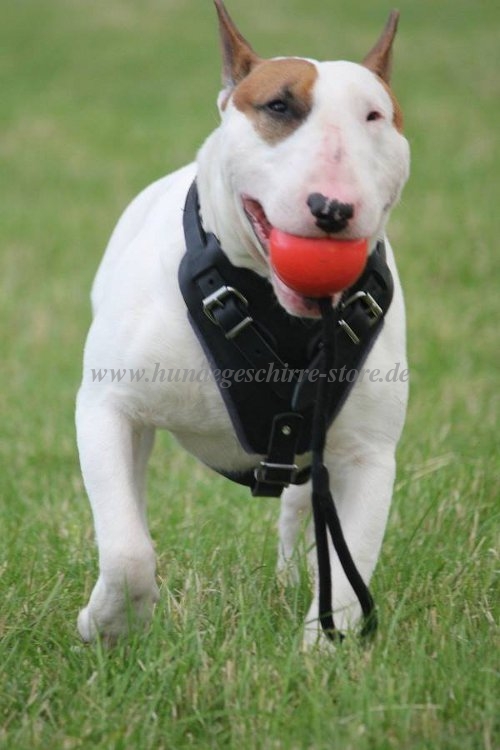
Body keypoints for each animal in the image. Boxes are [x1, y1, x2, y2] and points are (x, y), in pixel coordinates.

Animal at [75, 0, 410, 648]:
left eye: (374, 115)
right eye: (278, 106)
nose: (332, 209)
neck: (270, 306)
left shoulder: (368, 456)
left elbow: (349, 570)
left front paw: (320, 655)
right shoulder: (108, 405)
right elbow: (127, 550)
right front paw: (108, 625)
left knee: (301, 514)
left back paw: (290, 577)